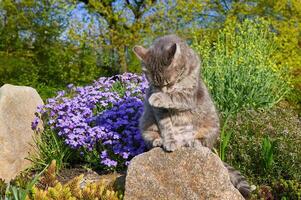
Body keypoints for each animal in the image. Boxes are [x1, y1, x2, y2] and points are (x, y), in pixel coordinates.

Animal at [132, 34, 250, 198]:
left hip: (211, 127)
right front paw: (169, 141)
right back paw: (159, 140)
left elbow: (176, 97)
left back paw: (192, 142)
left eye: (168, 83)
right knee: (150, 138)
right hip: (145, 122)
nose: (159, 91)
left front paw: (161, 97)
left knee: (205, 144)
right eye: (154, 84)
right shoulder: (159, 111)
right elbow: (166, 126)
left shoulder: (189, 96)